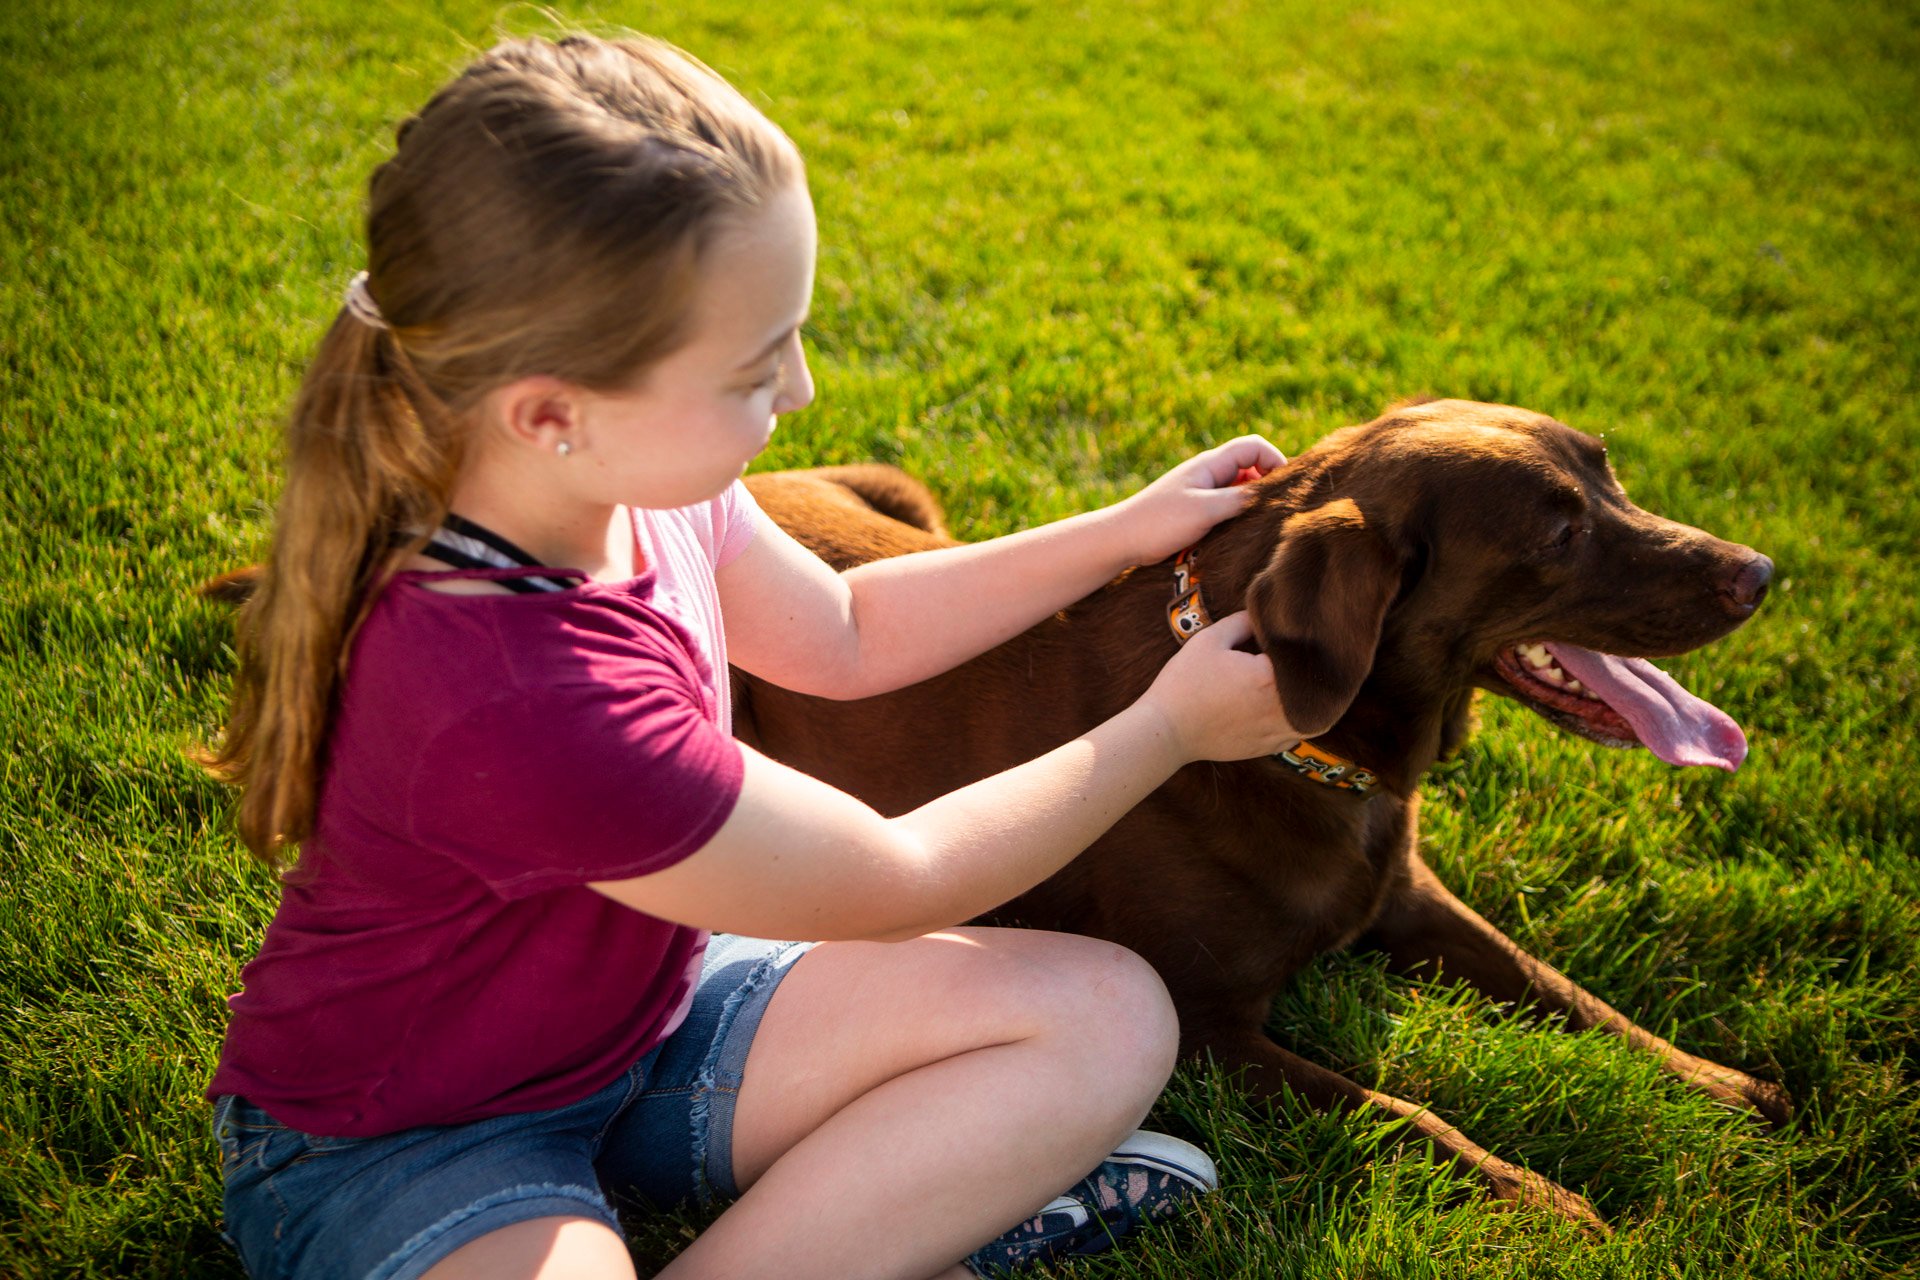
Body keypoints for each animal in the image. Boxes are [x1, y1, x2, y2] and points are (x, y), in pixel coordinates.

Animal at [741, 401, 1789, 1228]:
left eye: (1608, 472)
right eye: (1558, 536)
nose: (1760, 572)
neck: (1319, 761)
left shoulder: (1408, 898)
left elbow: (1566, 991)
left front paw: (1728, 1089)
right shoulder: (1209, 1032)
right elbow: (1405, 1112)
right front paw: (1549, 1201)